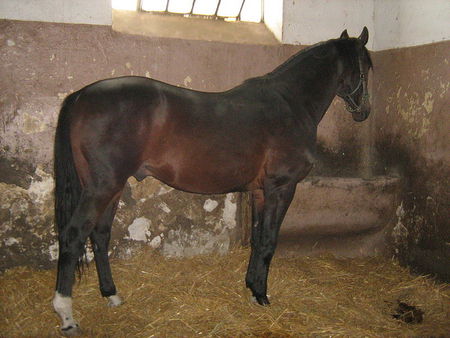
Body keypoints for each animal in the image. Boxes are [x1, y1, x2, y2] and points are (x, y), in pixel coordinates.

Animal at [51, 27, 372, 334]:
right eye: (367, 67)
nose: (364, 111)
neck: (291, 104)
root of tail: (81, 95)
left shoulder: (259, 192)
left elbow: (257, 239)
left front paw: (252, 288)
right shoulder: (282, 187)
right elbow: (269, 241)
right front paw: (263, 297)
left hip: (111, 188)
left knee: (99, 234)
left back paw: (112, 295)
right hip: (101, 188)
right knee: (74, 234)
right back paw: (66, 315)